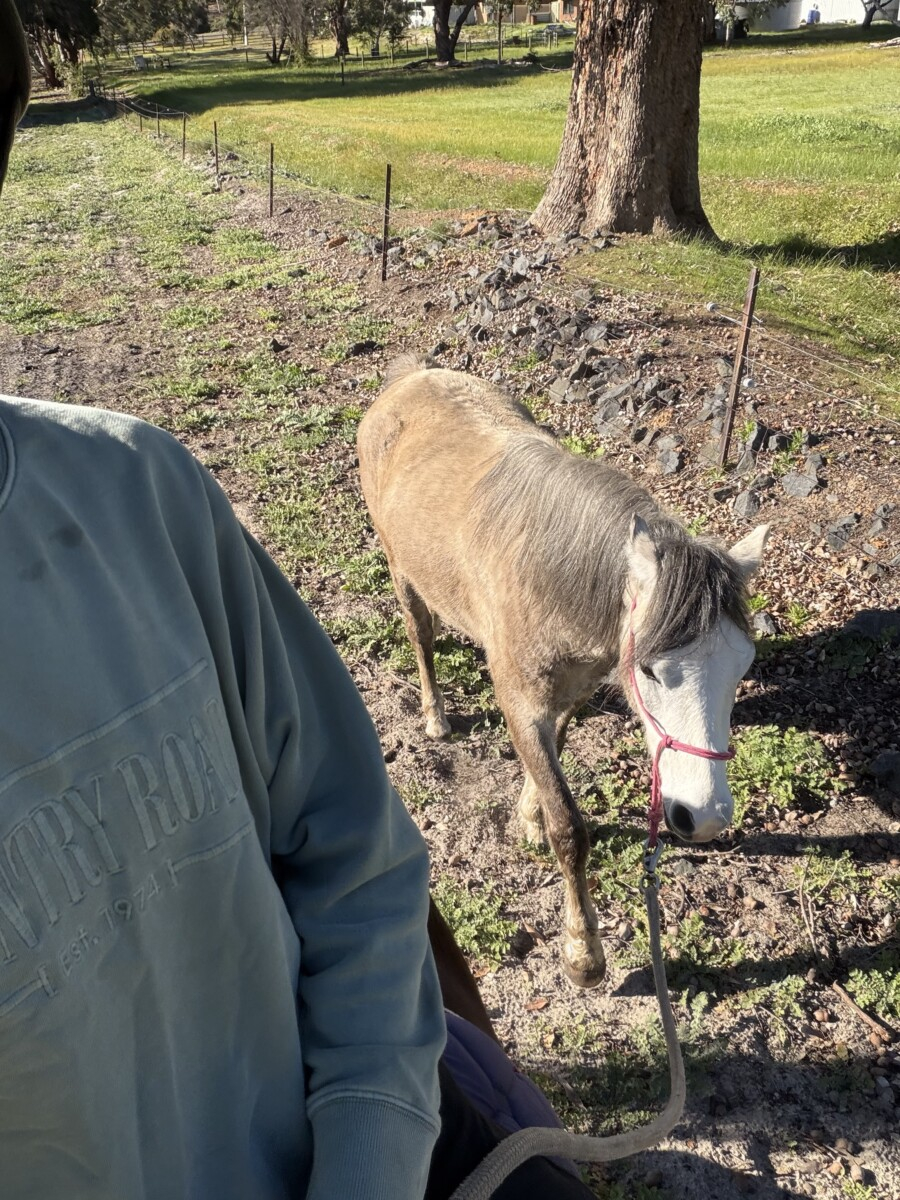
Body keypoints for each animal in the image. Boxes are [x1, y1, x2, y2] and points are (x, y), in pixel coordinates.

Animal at [358, 357, 768, 988]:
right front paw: (583, 955)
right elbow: (570, 829)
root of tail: (410, 377)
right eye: (649, 670)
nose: (704, 816)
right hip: (402, 572)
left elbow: (555, 752)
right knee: (421, 639)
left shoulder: (572, 690)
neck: (552, 577)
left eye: (742, 666)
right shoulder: (518, 703)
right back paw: (434, 716)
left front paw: (527, 815)